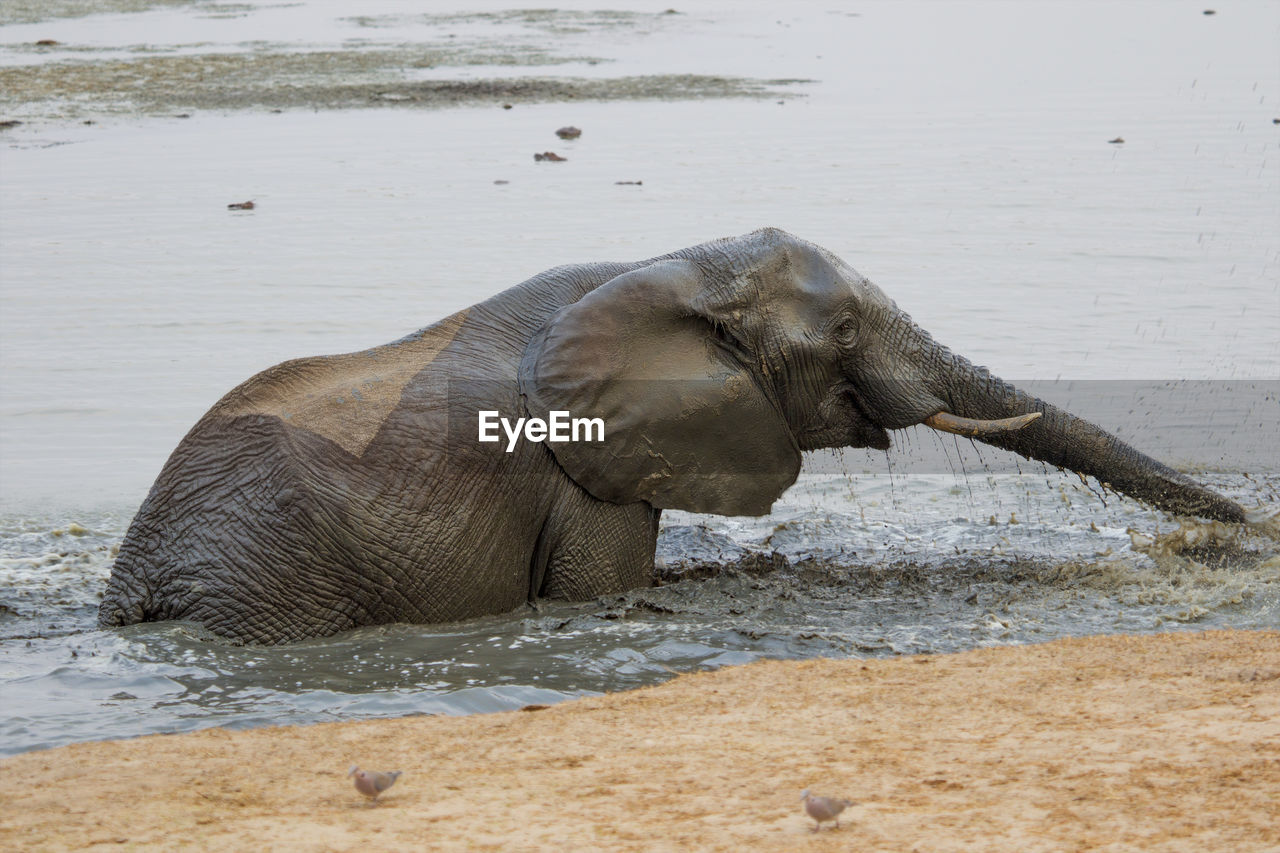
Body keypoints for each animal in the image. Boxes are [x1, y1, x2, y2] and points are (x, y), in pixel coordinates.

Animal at [99, 229, 1249, 640]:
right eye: (841, 332)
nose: (1241, 527)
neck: (678, 265)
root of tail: (135, 569)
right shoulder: (579, 481)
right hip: (271, 576)